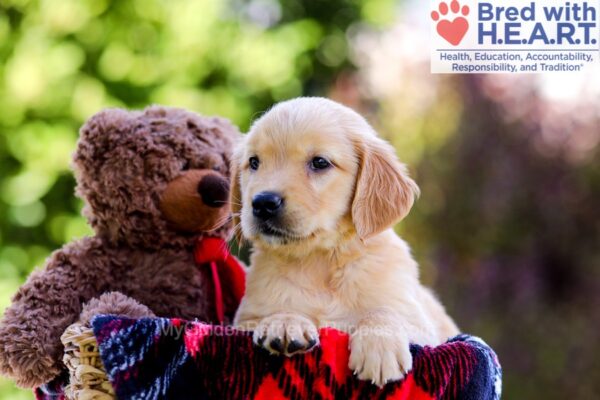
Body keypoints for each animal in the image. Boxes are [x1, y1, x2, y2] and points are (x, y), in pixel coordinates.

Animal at [232, 96, 458, 384]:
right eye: (253, 162)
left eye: (319, 162)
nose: (262, 203)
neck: (320, 260)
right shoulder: (243, 320)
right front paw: (284, 321)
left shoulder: (421, 326)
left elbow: (382, 312)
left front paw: (379, 347)